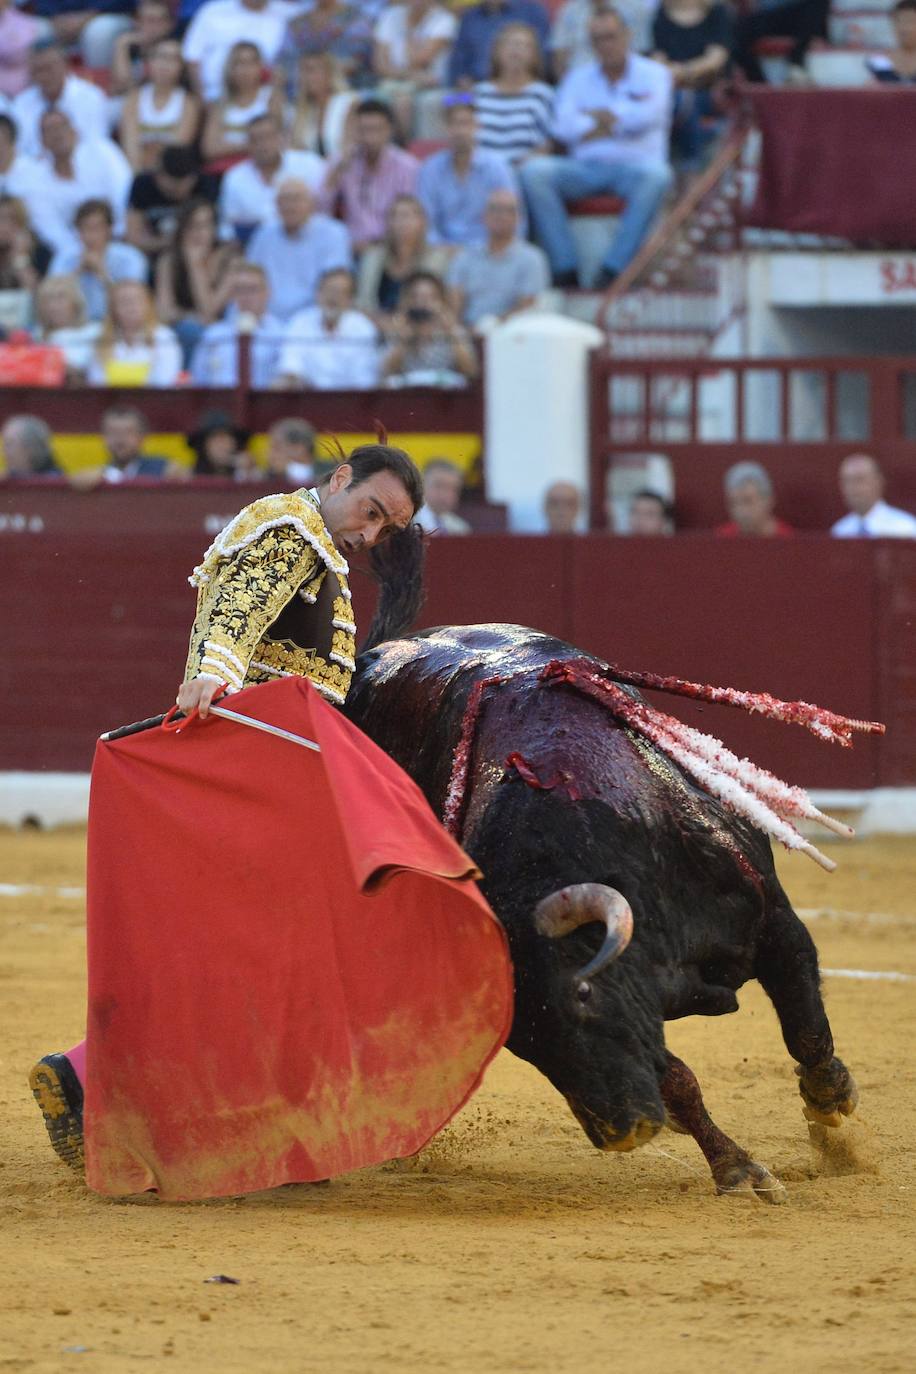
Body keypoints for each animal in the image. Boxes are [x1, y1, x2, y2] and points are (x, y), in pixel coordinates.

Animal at [346, 623, 878, 1203]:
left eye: (583, 996)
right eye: (521, 1043)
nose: (621, 1132)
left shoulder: (775, 922)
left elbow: (806, 1026)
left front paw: (829, 1103)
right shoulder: (638, 1002)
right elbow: (678, 1081)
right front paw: (738, 1170)